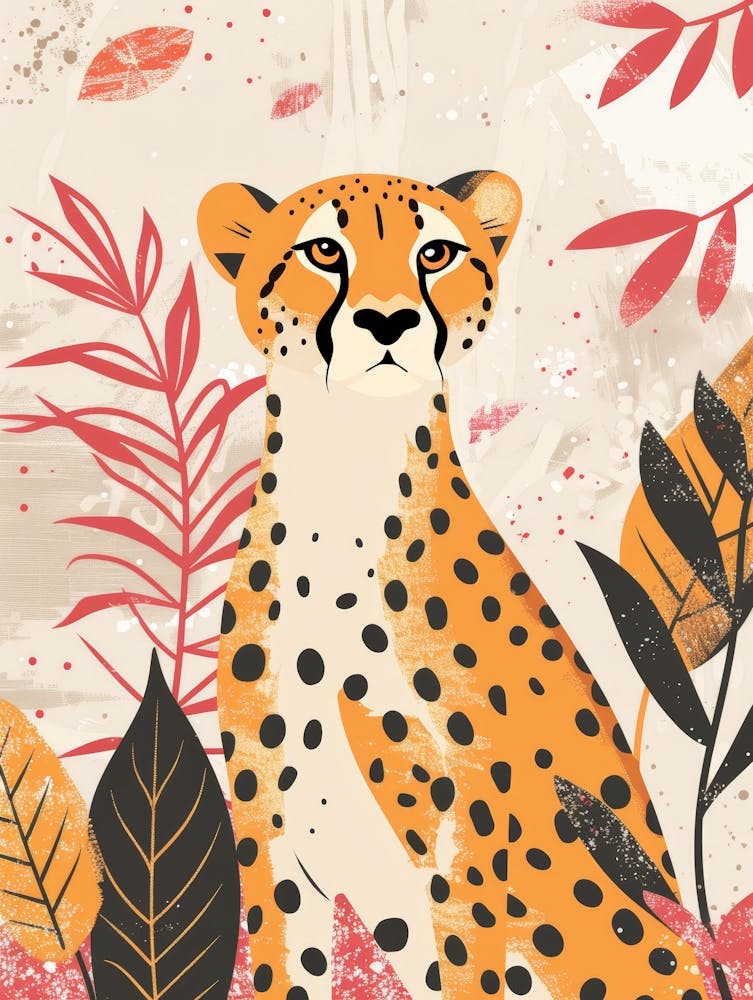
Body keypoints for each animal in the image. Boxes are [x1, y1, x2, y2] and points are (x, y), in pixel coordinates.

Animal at [197, 171, 709, 1000]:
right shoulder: (269, 830)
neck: (344, 474)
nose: (387, 321)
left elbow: (466, 960)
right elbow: (288, 970)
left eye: (433, 252)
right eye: (322, 250)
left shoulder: (460, 822)